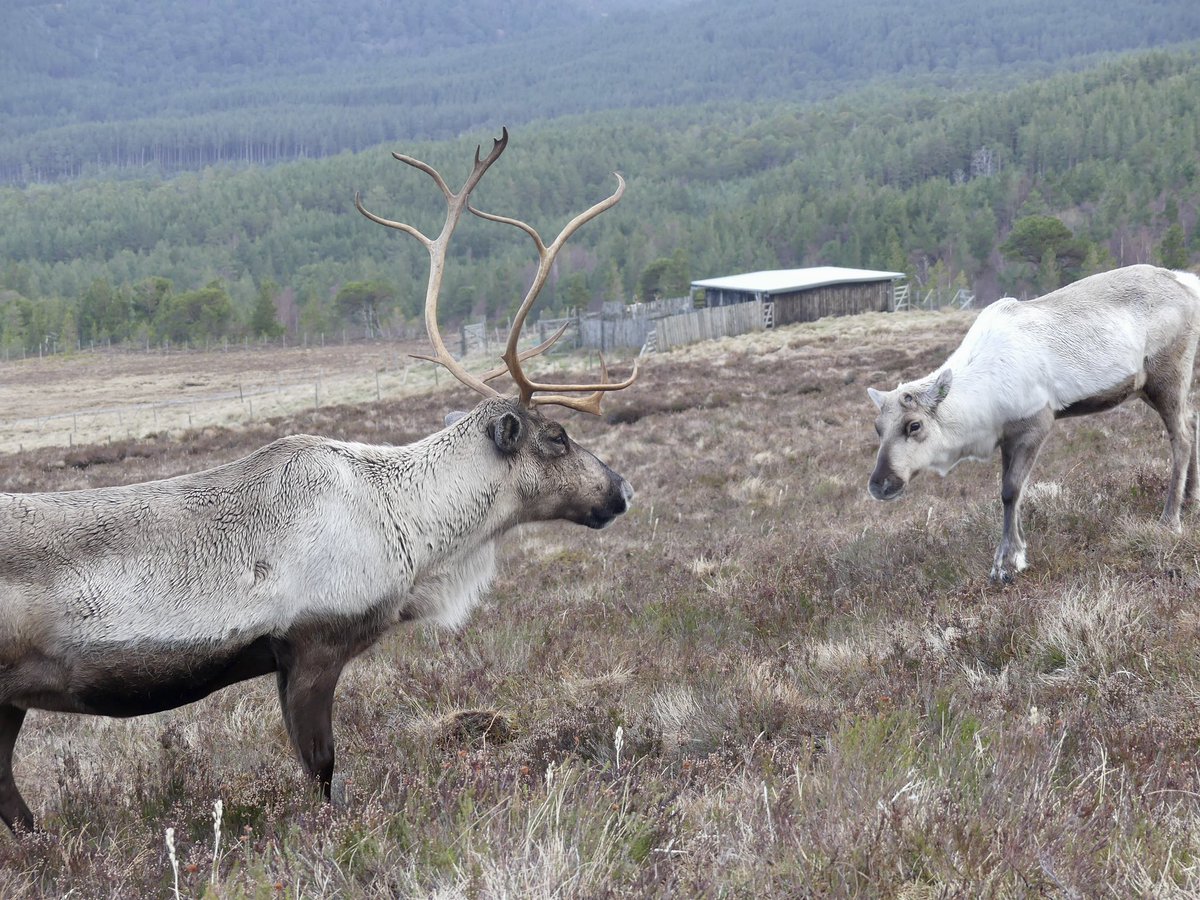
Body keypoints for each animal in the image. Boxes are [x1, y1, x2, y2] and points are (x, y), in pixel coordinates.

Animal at [866, 265, 1200, 582]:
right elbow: (1006, 491)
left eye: (914, 425)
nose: (879, 484)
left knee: (1182, 437)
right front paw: (1015, 552)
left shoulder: (1035, 424)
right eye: (878, 428)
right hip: (1148, 388)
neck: (981, 398)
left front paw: (1008, 562)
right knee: (1192, 420)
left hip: (1167, 377)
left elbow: (1011, 490)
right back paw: (1191, 499)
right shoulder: (1006, 437)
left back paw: (1170, 518)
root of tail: (1187, 282)